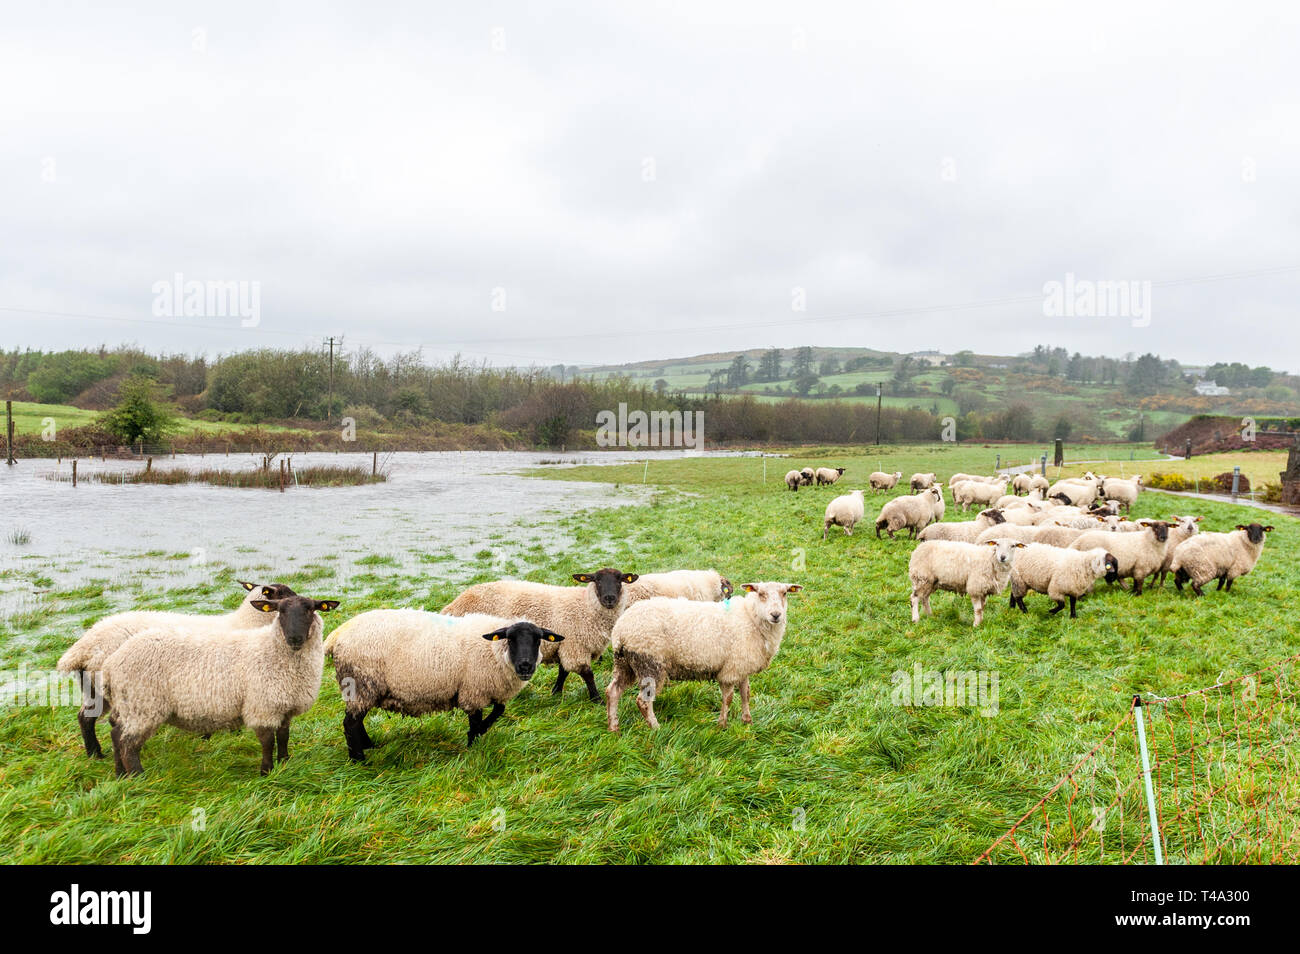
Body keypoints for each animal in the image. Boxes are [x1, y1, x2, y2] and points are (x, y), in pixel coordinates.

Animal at [56, 579, 297, 759]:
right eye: (284, 592)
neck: (244, 623)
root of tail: (83, 647)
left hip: (94, 687)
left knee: (85, 717)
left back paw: (94, 754)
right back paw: (98, 754)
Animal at [100, 595, 338, 779]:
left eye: (310, 609)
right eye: (280, 611)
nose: (294, 638)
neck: (273, 650)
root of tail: (111, 664)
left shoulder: (284, 706)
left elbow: (283, 736)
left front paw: (285, 762)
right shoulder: (262, 706)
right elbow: (268, 741)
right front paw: (267, 771)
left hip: (128, 706)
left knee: (116, 734)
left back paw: (120, 773)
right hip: (142, 705)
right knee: (128, 744)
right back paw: (138, 776)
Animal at [323, 608, 559, 759]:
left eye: (538, 640)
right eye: (511, 639)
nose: (526, 666)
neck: (493, 650)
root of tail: (336, 636)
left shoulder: (490, 690)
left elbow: (498, 710)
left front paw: (480, 733)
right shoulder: (472, 691)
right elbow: (476, 721)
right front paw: (473, 745)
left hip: (360, 689)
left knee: (356, 721)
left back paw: (369, 746)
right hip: (361, 684)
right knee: (350, 723)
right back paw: (359, 759)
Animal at [439, 566, 637, 701]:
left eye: (620, 580)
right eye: (597, 580)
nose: (609, 599)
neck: (586, 607)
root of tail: (452, 606)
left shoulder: (564, 644)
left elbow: (563, 671)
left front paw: (556, 692)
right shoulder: (575, 646)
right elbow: (587, 673)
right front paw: (596, 699)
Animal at [605, 582, 800, 733]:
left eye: (784, 593)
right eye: (761, 594)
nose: (776, 615)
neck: (751, 618)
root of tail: (620, 629)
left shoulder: (742, 666)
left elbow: (746, 693)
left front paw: (747, 721)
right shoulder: (730, 670)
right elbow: (728, 698)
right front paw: (722, 725)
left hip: (625, 663)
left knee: (613, 691)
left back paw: (614, 727)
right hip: (650, 663)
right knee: (643, 701)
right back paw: (655, 727)